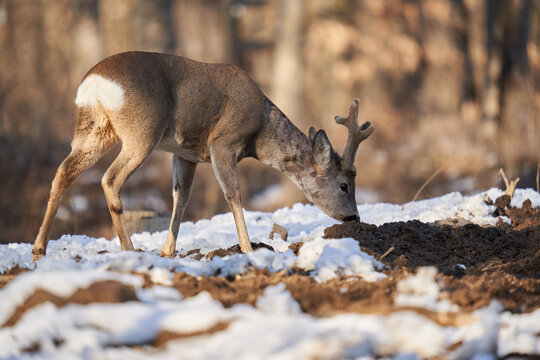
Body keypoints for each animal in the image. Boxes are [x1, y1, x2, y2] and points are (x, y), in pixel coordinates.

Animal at [31, 51, 374, 258]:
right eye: (344, 185)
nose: (354, 218)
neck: (261, 131)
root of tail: (94, 83)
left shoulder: (185, 153)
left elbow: (181, 196)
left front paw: (168, 251)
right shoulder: (222, 142)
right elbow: (233, 193)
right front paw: (248, 249)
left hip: (93, 129)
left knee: (63, 172)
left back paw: (39, 248)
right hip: (142, 131)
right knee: (110, 179)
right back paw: (129, 249)